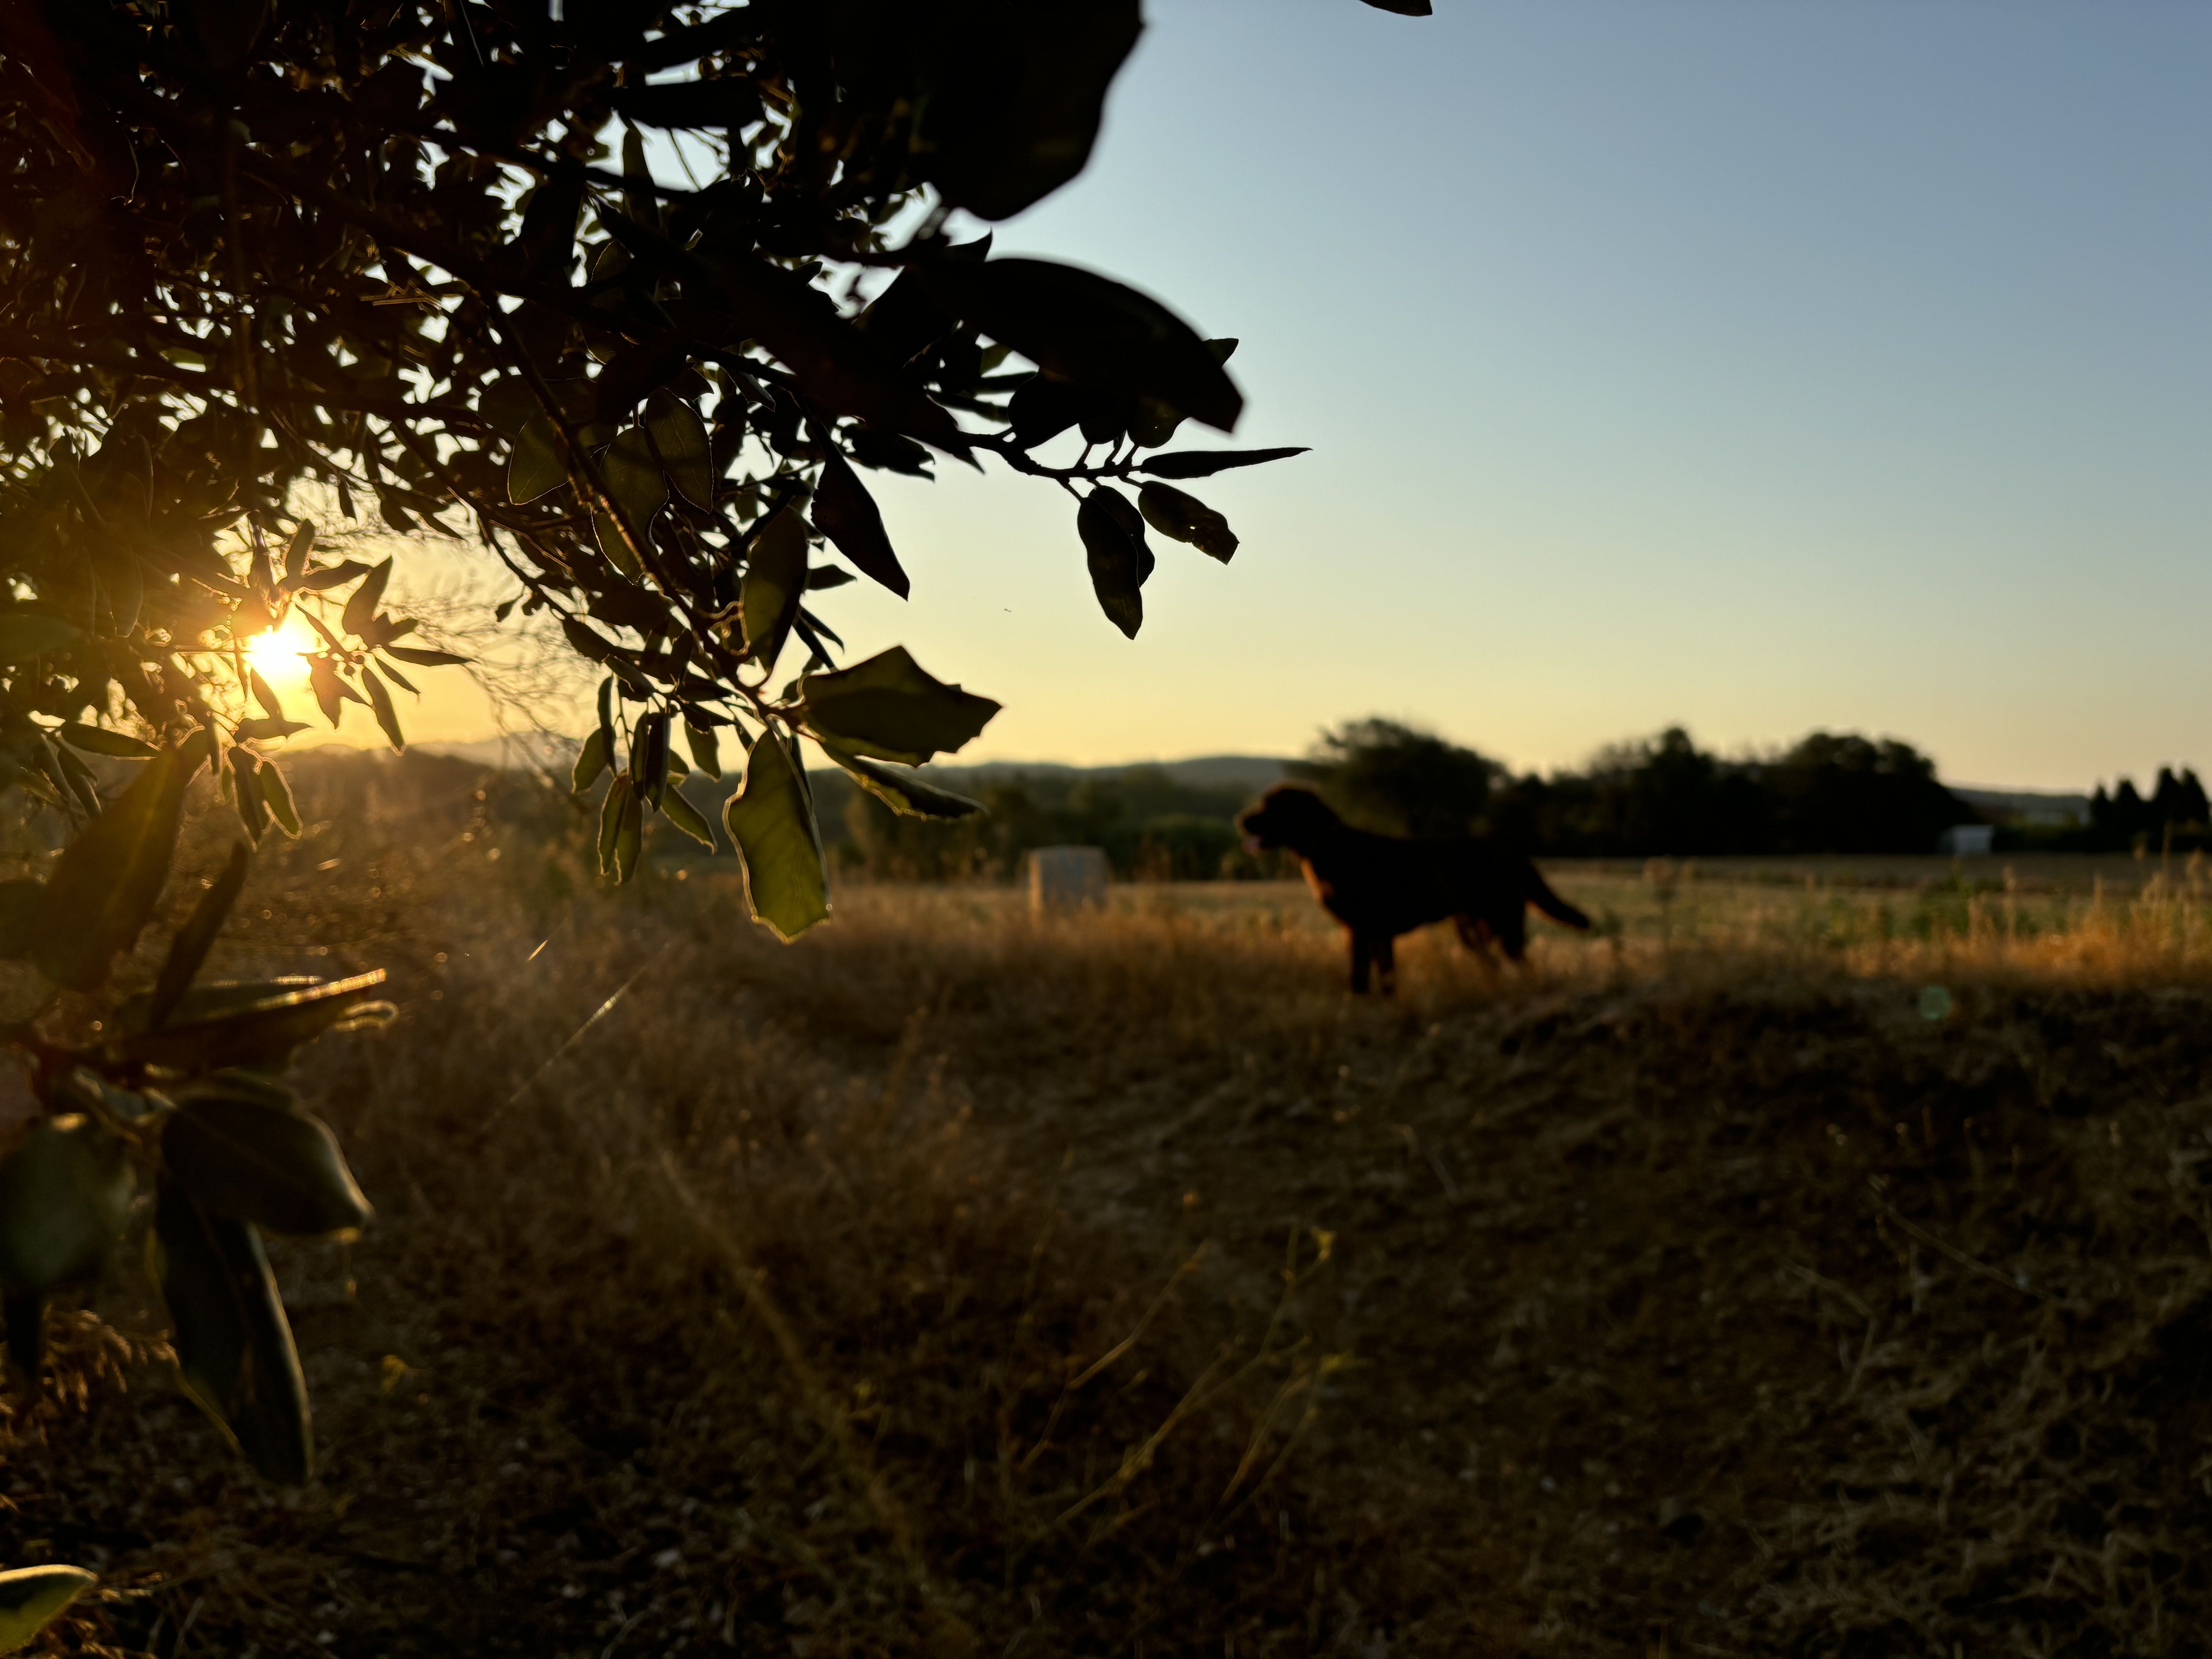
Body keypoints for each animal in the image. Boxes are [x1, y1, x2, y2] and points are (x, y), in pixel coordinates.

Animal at [1247, 787, 1592, 995]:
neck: (1326, 845)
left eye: (1272, 806)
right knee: (1499, 964)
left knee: (1522, 965)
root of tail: (1513, 851)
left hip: (1502, 926)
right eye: (1262, 803)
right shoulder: (1361, 933)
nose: (1242, 820)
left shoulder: (1373, 932)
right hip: (1475, 930)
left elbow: (1380, 978)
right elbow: (1365, 979)